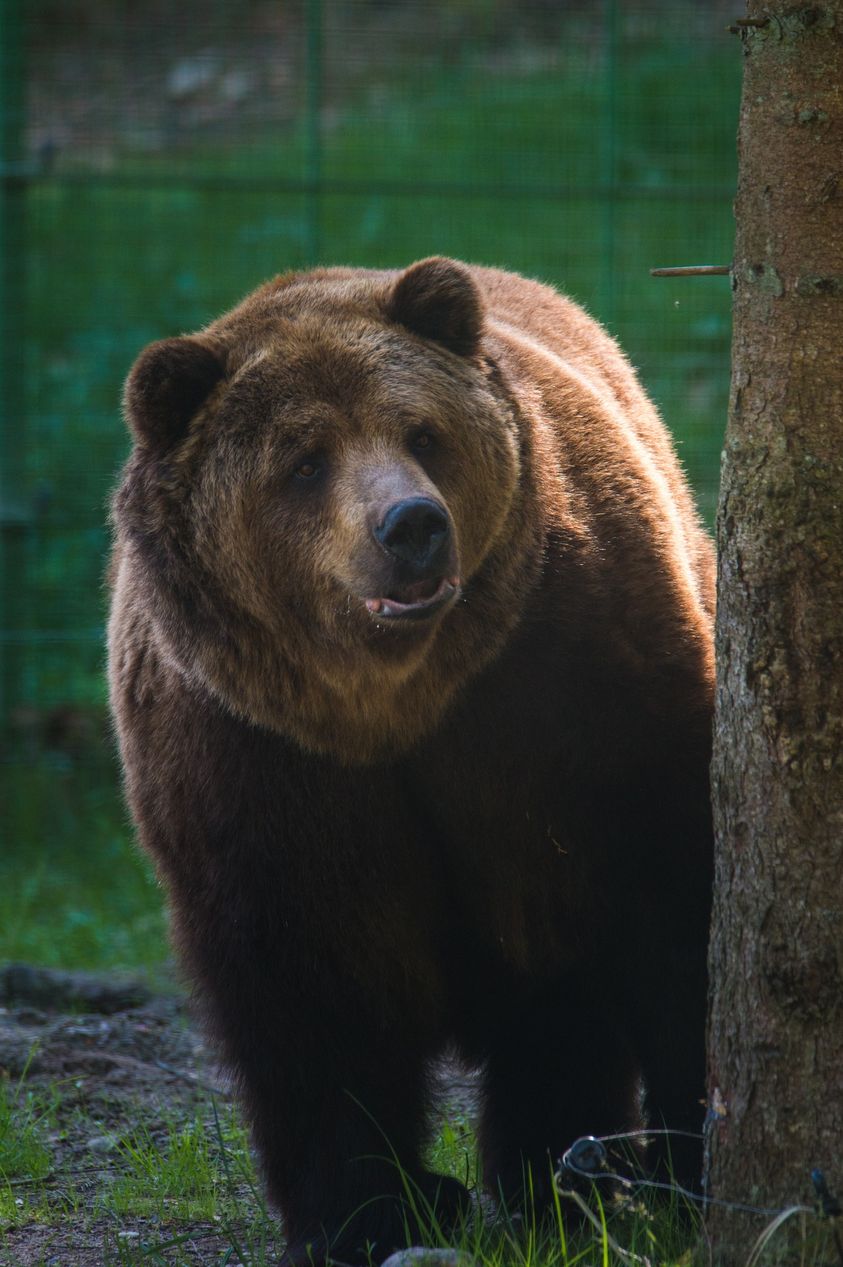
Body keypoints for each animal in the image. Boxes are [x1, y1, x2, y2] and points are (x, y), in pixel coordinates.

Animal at [108, 259, 714, 1267]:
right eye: (303, 460)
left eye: (421, 431)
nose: (411, 525)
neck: (394, 704)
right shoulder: (253, 758)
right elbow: (310, 990)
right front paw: (362, 1211)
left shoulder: (570, 687)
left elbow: (655, 905)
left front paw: (658, 1172)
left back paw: (574, 1178)